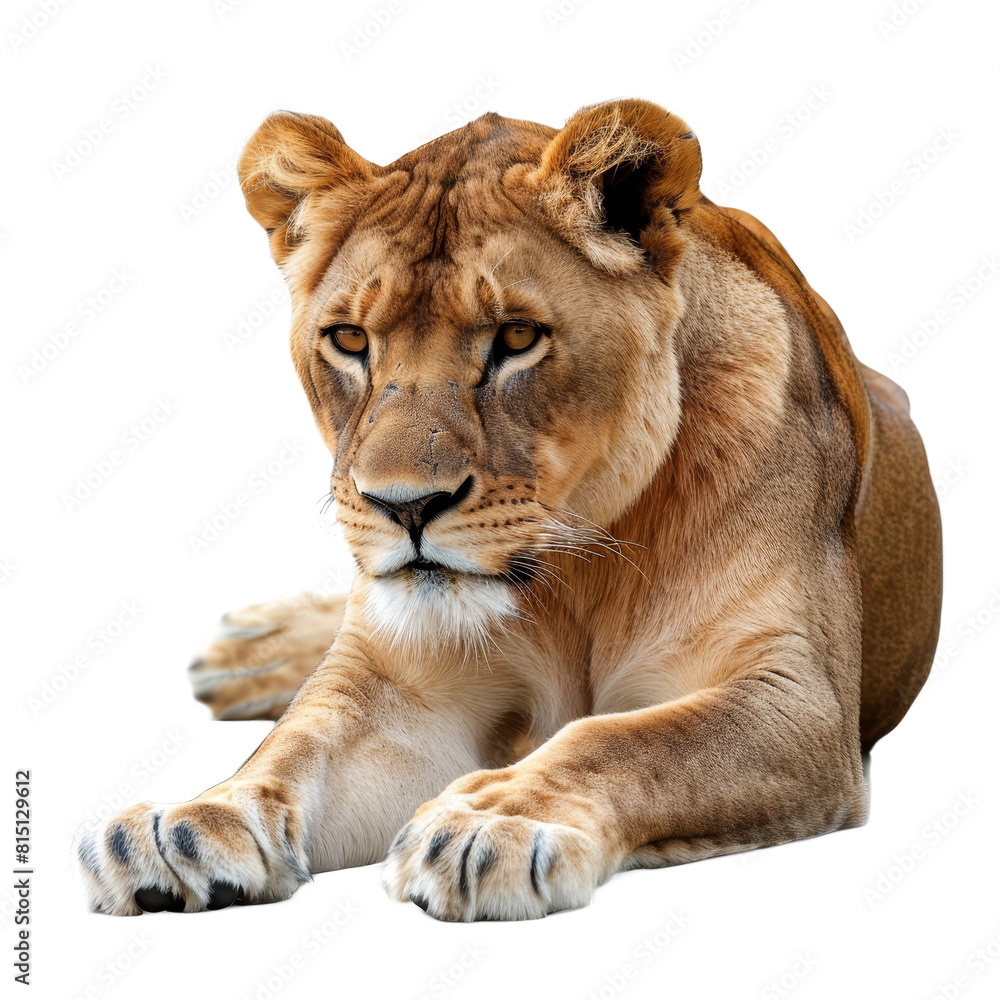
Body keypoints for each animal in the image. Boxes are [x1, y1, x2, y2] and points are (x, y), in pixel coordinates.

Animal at [74, 99, 942, 921]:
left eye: (517, 337)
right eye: (349, 340)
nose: (405, 505)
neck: (578, 574)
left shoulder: (799, 700)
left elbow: (628, 739)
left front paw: (493, 822)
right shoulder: (405, 690)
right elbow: (299, 744)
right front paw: (190, 820)